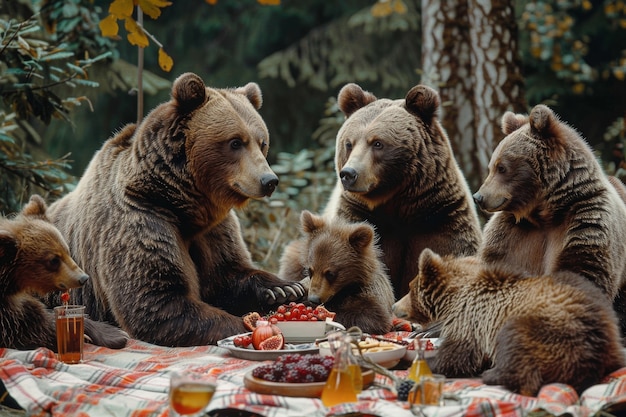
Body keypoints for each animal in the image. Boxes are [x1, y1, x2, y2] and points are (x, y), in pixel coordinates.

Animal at [0, 195, 128, 352]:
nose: (83, 278)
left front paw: (114, 334)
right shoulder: (6, 312)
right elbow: (24, 326)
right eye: (53, 260)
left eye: (67, 250)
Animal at [45, 73, 306, 346]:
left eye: (262, 142)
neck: (180, 203)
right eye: (235, 142)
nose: (269, 180)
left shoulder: (214, 229)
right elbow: (159, 301)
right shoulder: (140, 221)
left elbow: (227, 273)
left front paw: (284, 288)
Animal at [320, 83, 480, 298]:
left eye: (377, 143)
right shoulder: (359, 218)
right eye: (349, 143)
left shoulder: (440, 222)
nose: (349, 174)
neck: (398, 206)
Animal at [392, 249, 624, 394]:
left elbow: (457, 355)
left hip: (551, 331)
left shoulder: (472, 320)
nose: (394, 305)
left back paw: (493, 375)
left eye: (410, 288)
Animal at [470, 105, 624, 334]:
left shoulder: (584, 222)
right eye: (491, 166)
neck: (544, 212)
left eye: (502, 167)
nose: (478, 197)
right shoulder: (512, 235)